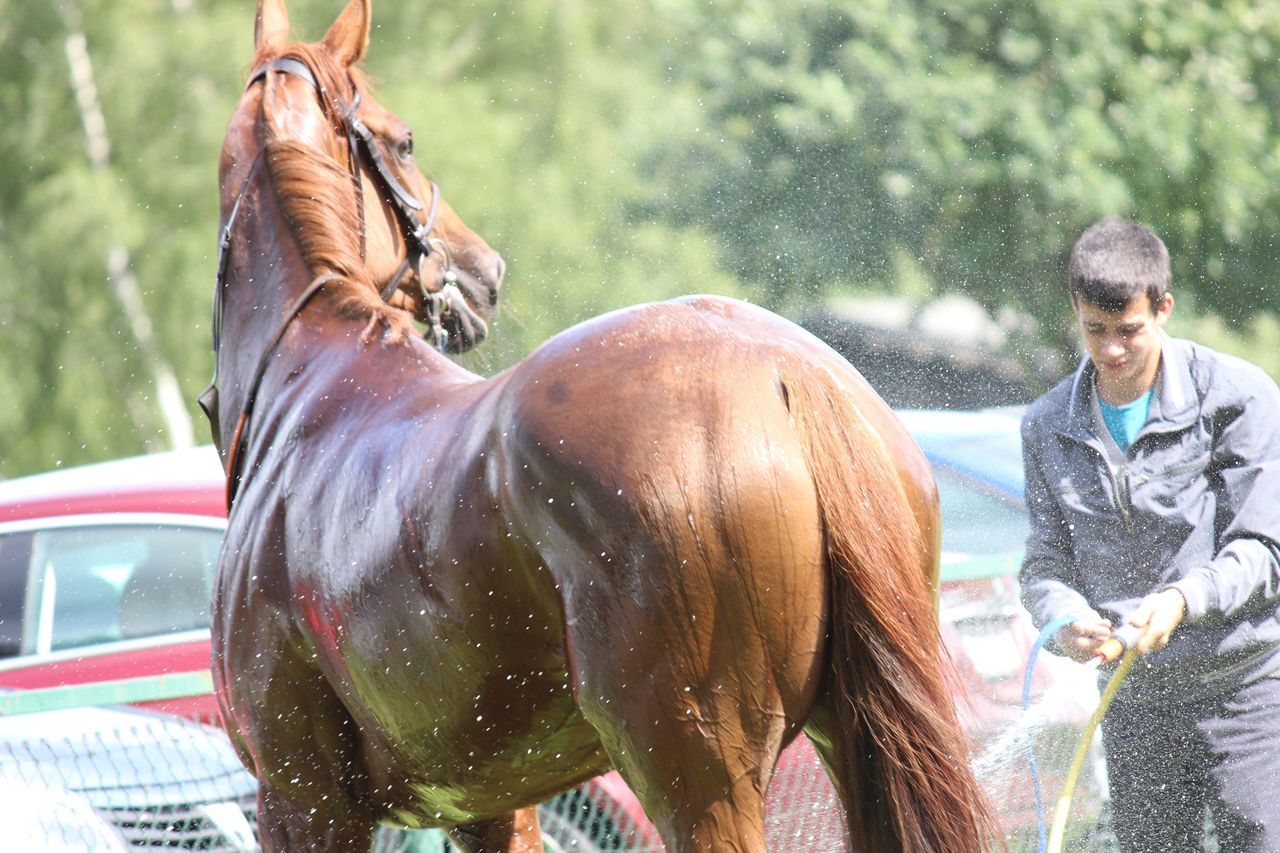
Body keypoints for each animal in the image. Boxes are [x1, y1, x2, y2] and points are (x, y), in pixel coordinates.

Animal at [207, 3, 988, 845]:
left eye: (403, 135)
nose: (485, 270)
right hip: (853, 740)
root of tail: (783, 369)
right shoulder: (491, 805)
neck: (308, 371)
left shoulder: (304, 800)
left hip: (691, 771)